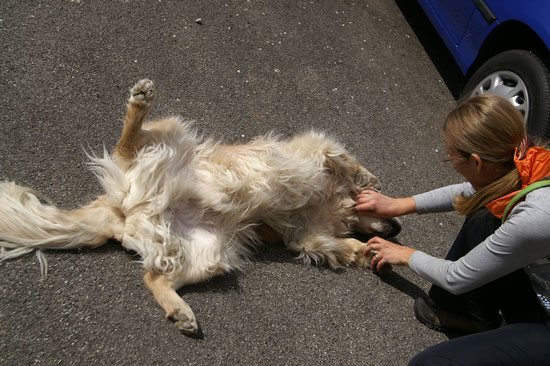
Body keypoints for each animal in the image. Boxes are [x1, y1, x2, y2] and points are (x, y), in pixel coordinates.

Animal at [0, 78, 402, 336]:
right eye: (386, 214)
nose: (397, 227)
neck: (336, 204)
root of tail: (119, 210)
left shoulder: (307, 236)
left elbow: (337, 245)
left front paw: (369, 251)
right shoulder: (317, 150)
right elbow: (345, 159)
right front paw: (370, 182)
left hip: (205, 253)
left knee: (154, 277)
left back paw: (181, 312)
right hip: (170, 139)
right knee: (124, 147)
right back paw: (140, 100)